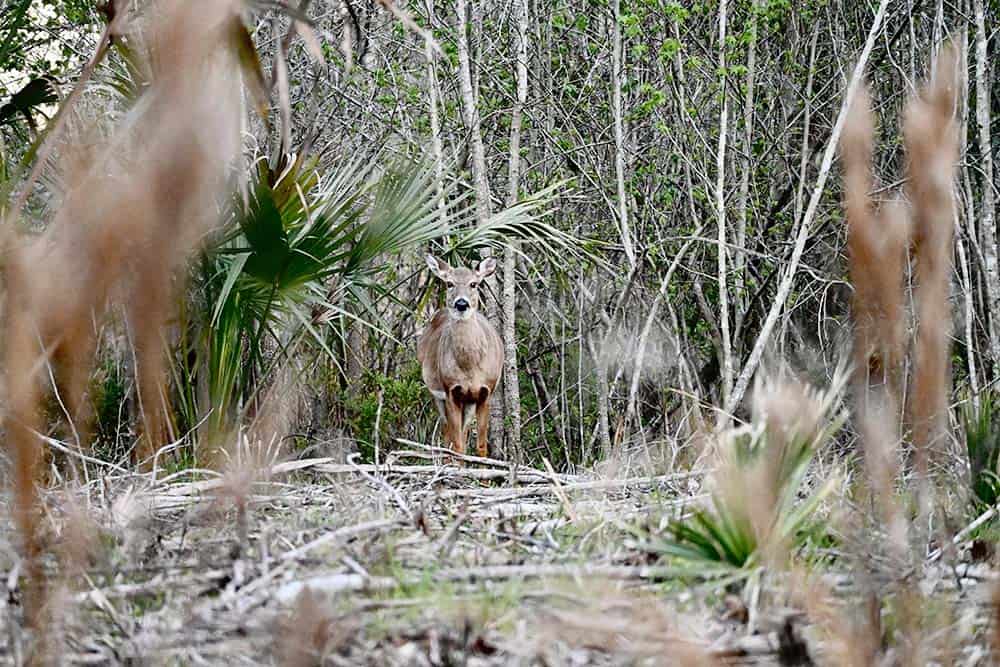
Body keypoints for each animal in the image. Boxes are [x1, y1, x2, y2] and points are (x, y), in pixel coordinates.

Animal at [418, 256, 504, 460]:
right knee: (448, 435)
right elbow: (456, 445)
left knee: (461, 435)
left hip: (469, 402)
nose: (461, 304)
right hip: (438, 395)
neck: (470, 367)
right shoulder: (451, 391)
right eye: (449, 283)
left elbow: (481, 446)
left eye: (474, 284)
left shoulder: (486, 392)